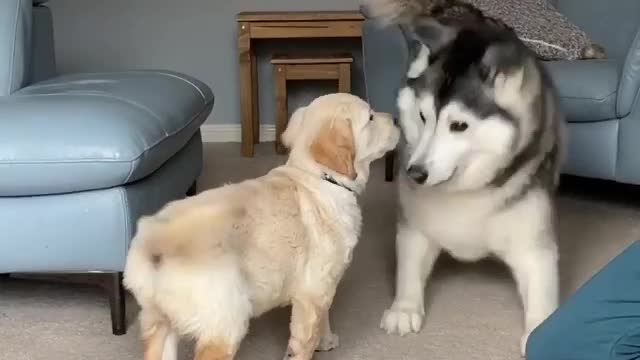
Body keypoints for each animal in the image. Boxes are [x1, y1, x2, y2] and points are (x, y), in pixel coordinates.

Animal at [122, 93, 398, 360]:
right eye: (370, 117)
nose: (396, 118)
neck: (318, 177)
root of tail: (153, 245)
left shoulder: (322, 286)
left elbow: (324, 317)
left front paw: (327, 340)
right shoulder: (314, 290)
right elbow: (306, 339)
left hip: (157, 321)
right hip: (226, 321)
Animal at [364, 0, 564, 354]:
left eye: (459, 126)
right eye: (423, 116)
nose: (415, 173)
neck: (469, 189)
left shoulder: (533, 243)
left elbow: (541, 286)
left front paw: (542, 330)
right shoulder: (415, 224)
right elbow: (409, 264)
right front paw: (405, 307)